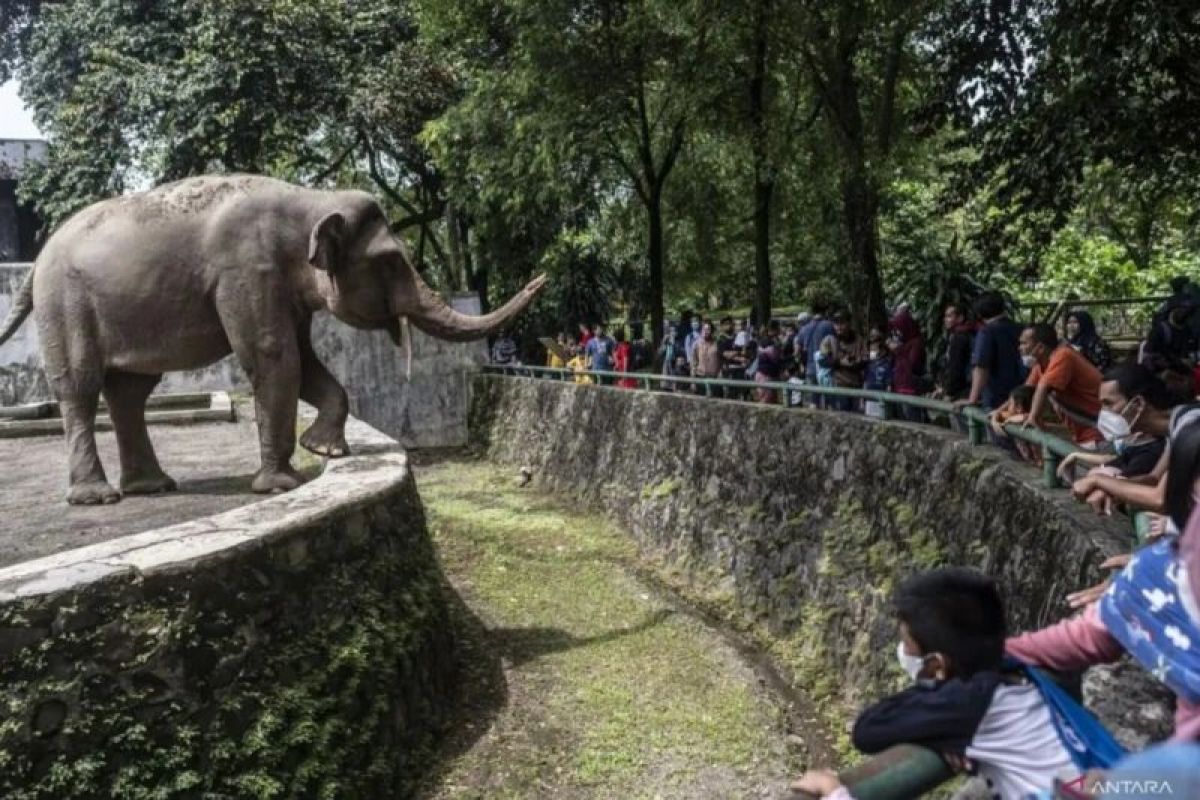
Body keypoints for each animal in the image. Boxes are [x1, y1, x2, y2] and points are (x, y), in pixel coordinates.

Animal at [0, 175, 544, 503]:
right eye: (391, 261)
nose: (541, 278)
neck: (311, 200)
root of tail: (38, 261)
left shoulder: (285, 288)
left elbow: (305, 360)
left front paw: (325, 451)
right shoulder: (247, 272)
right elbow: (273, 358)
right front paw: (281, 485)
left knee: (130, 391)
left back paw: (153, 487)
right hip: (65, 307)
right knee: (81, 386)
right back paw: (98, 497)